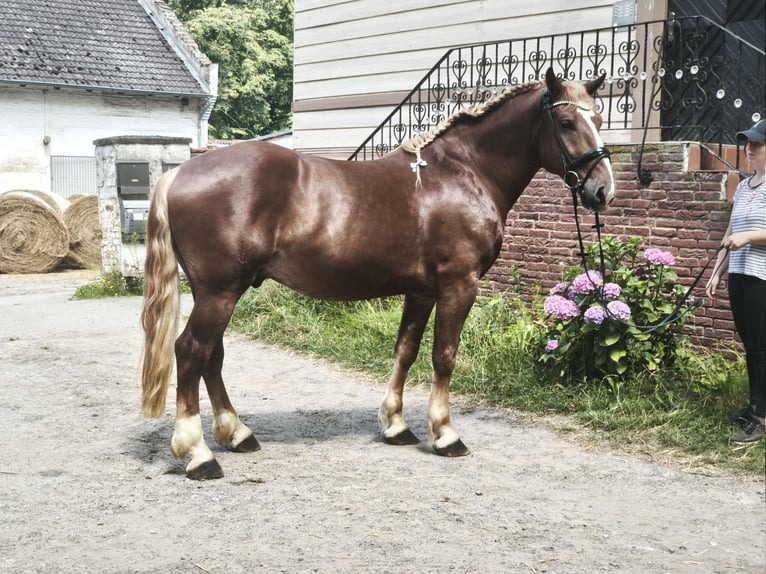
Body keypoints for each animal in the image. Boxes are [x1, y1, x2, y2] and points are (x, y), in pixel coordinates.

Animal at [141, 67, 615, 480]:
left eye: (599, 118)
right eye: (567, 122)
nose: (602, 190)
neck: (463, 171)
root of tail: (179, 173)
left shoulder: (422, 291)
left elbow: (405, 350)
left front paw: (396, 425)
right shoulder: (459, 284)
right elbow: (444, 355)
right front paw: (445, 434)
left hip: (218, 292)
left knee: (212, 356)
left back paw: (236, 434)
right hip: (220, 291)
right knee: (192, 351)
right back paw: (198, 453)